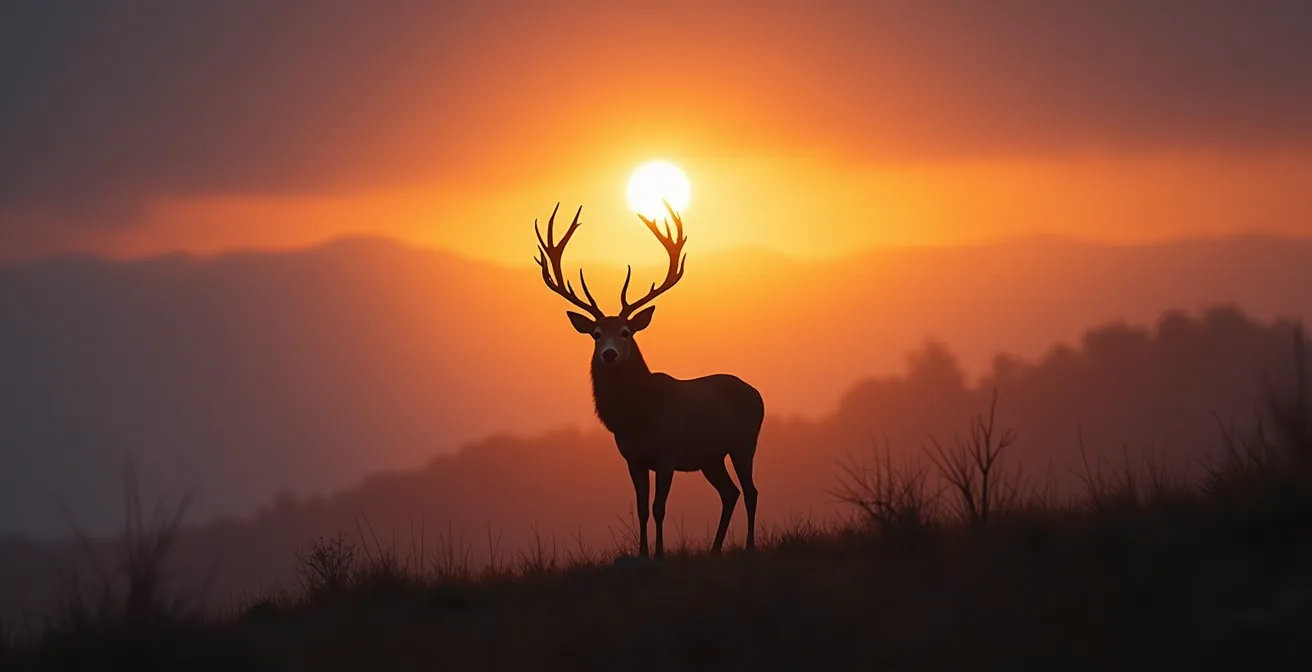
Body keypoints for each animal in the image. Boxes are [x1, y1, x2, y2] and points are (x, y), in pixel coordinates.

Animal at [533, 201, 765, 559]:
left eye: (626, 332)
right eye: (596, 334)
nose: (609, 354)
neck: (638, 418)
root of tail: (758, 395)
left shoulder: (667, 454)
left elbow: (659, 508)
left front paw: (658, 554)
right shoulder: (633, 459)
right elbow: (641, 508)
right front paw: (643, 554)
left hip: (744, 442)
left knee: (750, 491)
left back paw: (751, 545)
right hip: (710, 457)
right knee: (730, 493)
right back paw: (715, 549)